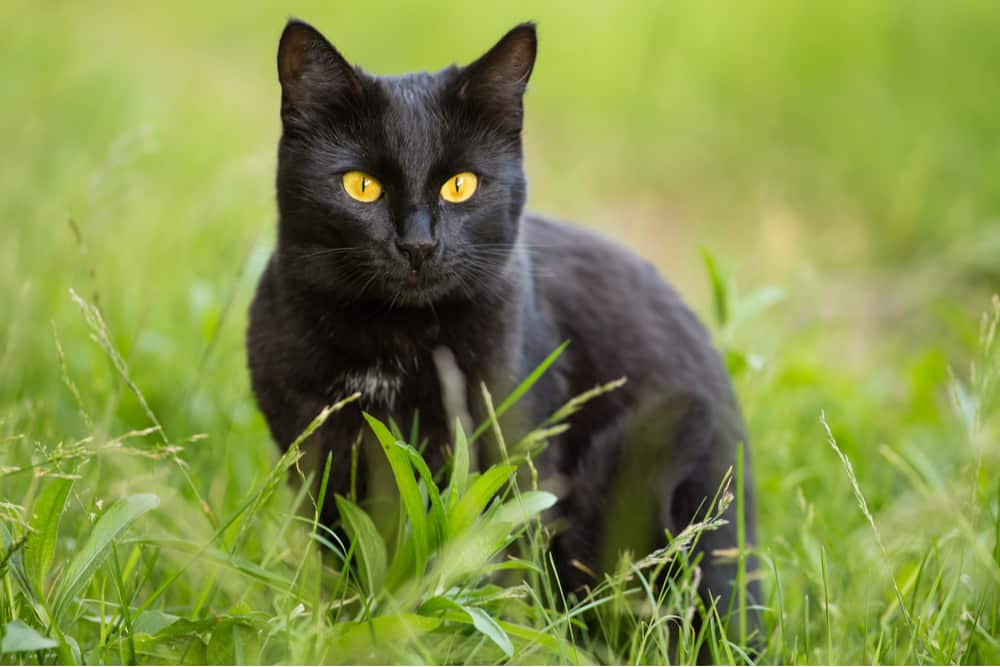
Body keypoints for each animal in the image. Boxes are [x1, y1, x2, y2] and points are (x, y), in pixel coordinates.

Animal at [248, 14, 756, 632]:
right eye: (361, 186)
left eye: (460, 185)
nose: (418, 244)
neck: (394, 342)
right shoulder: (316, 458)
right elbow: (346, 559)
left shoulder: (514, 455)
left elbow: (494, 568)